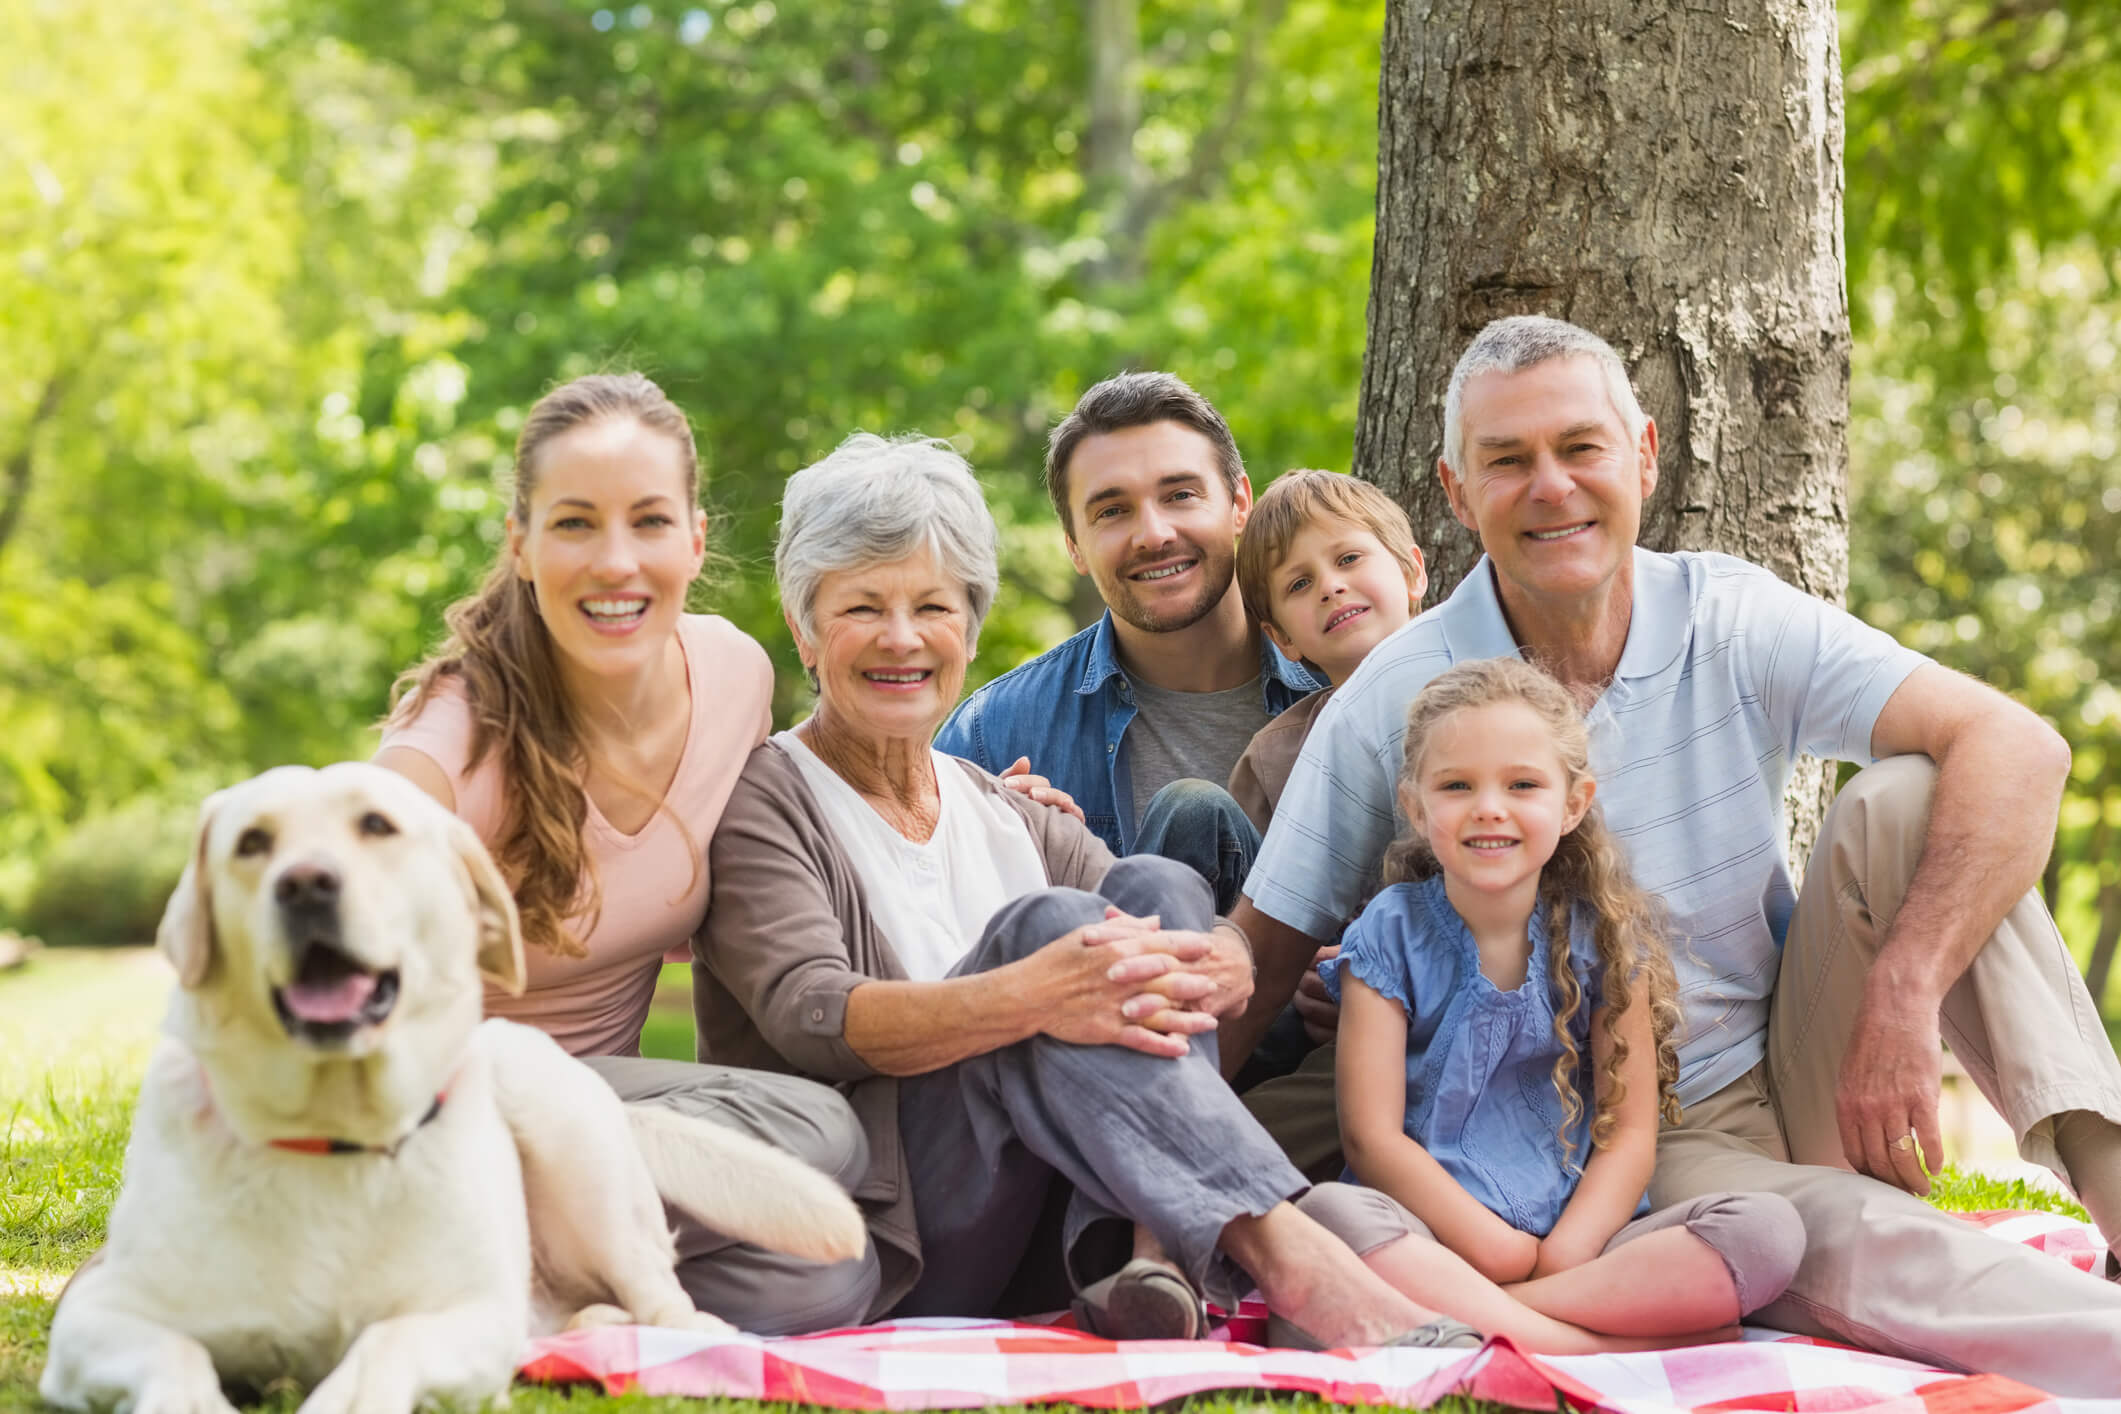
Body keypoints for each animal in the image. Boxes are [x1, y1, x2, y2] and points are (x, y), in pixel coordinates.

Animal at [37, 767, 861, 1414]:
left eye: (376, 825)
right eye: (251, 843)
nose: (305, 883)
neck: (331, 1132)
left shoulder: (466, 1317)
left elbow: (383, 1345)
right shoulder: (94, 1319)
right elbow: (174, 1357)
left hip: (560, 1126)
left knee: (661, 1296)